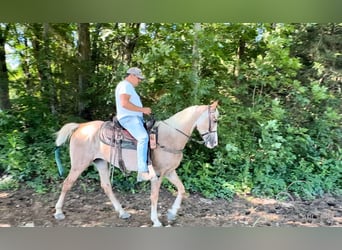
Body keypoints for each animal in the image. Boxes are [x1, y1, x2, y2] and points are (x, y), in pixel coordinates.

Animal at [53, 101, 219, 227]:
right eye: (215, 120)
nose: (214, 144)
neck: (170, 137)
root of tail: (80, 127)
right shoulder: (157, 175)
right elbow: (154, 196)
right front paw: (156, 221)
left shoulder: (170, 172)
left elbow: (182, 189)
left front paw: (172, 214)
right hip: (79, 164)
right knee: (67, 183)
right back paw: (59, 212)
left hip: (100, 163)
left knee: (106, 186)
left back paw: (122, 212)